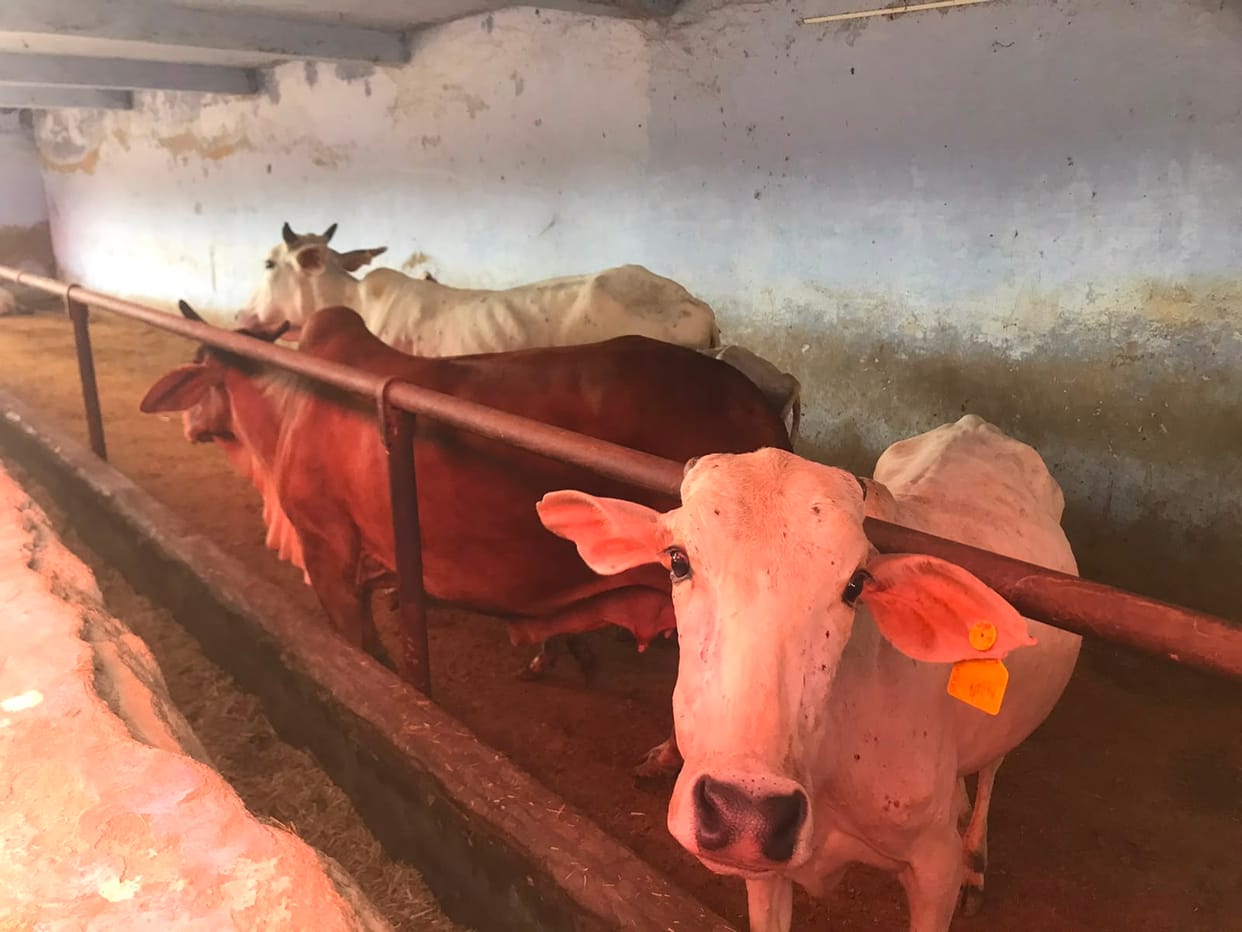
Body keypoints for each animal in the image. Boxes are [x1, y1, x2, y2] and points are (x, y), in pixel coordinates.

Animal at [139, 303, 791, 772]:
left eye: (198, 373)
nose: (188, 424)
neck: (288, 408)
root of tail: (758, 410)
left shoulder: (328, 551)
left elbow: (361, 653)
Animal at [536, 415, 1082, 930]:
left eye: (855, 584)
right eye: (677, 560)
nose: (745, 816)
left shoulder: (935, 868)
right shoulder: (764, 874)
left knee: (993, 766)